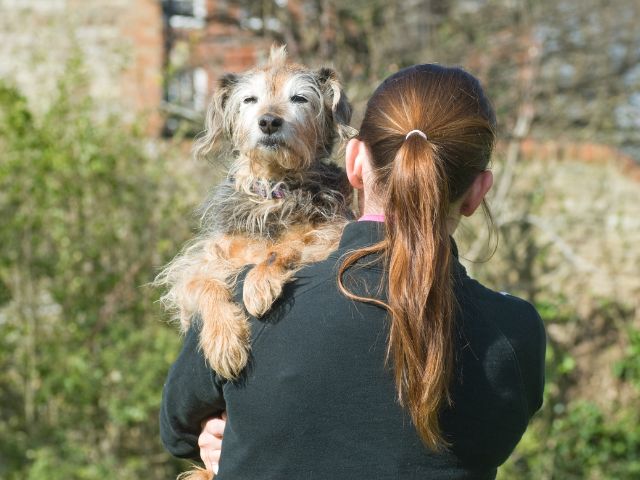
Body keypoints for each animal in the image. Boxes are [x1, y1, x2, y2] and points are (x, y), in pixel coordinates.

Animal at [156, 47, 356, 478]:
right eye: (250, 100)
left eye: (299, 98)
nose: (269, 121)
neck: (273, 191)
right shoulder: (195, 265)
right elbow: (203, 284)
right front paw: (224, 342)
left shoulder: (333, 231)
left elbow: (291, 246)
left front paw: (259, 284)